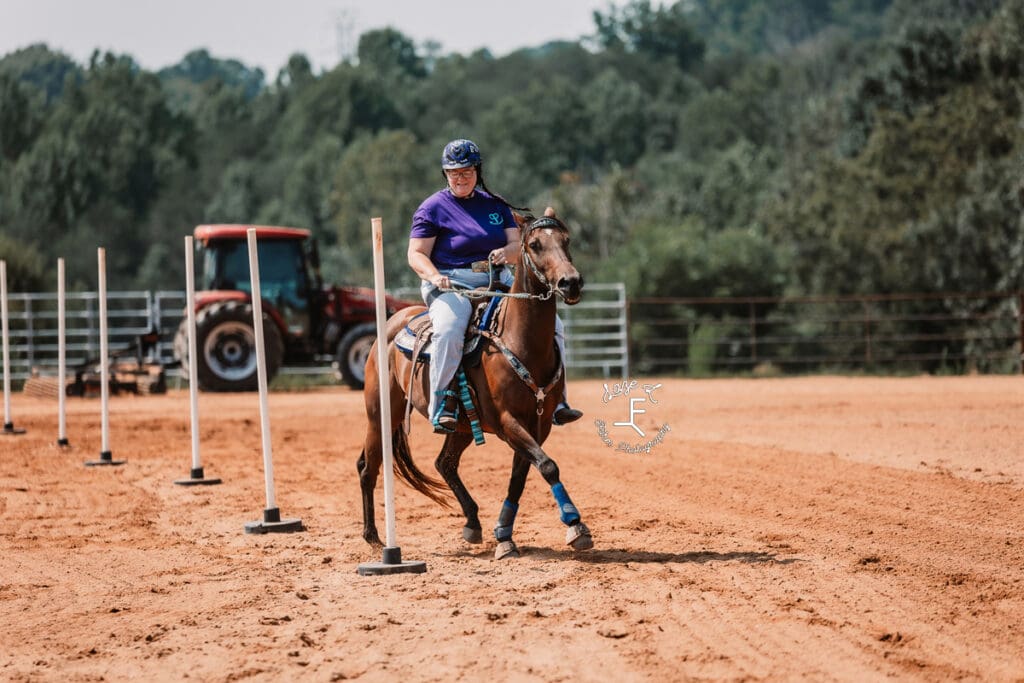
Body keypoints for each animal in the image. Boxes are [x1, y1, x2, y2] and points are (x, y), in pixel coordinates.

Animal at [356, 206, 593, 557]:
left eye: (566, 240)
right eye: (535, 244)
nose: (571, 283)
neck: (520, 342)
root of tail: (394, 321)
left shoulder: (537, 426)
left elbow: (522, 476)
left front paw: (504, 534)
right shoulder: (509, 422)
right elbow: (548, 466)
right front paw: (575, 524)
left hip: (463, 427)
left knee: (444, 464)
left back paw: (472, 522)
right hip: (381, 415)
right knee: (369, 466)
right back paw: (374, 538)